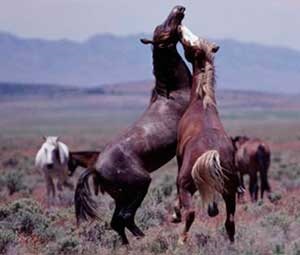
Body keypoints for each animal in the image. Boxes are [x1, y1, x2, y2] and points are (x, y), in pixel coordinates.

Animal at [75, 5, 192, 245]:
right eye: (163, 30)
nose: (179, 8)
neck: (175, 92)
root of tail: (95, 167)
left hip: (121, 195)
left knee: (116, 222)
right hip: (139, 186)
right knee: (125, 217)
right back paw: (145, 239)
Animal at [171, 25, 239, 243]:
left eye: (189, 44)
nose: (180, 28)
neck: (202, 104)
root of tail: (211, 153)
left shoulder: (178, 158)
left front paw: (174, 214)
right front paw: (212, 209)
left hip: (186, 185)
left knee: (190, 213)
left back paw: (181, 239)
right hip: (230, 192)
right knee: (230, 222)